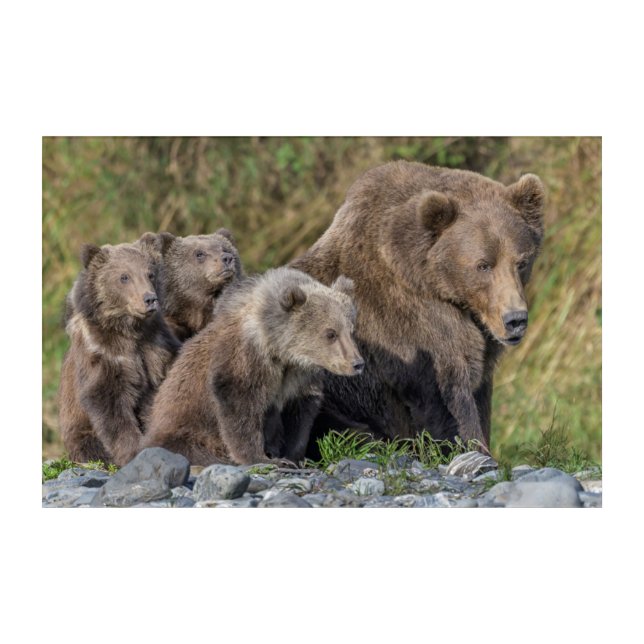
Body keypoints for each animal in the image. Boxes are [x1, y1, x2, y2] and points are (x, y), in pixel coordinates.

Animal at [58, 239, 181, 467]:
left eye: (150, 273)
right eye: (124, 276)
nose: (149, 299)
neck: (130, 329)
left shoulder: (156, 344)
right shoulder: (104, 354)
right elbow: (109, 404)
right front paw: (133, 451)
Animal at [141, 267, 363, 466]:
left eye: (351, 330)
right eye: (331, 333)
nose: (357, 363)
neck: (280, 350)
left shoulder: (299, 377)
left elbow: (299, 414)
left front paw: (293, 456)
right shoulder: (247, 357)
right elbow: (240, 404)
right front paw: (261, 458)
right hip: (185, 430)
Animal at [290, 160, 546, 453]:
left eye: (522, 262)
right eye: (483, 265)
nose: (515, 319)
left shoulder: (482, 339)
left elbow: (480, 393)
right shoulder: (412, 328)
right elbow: (448, 399)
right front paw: (473, 447)